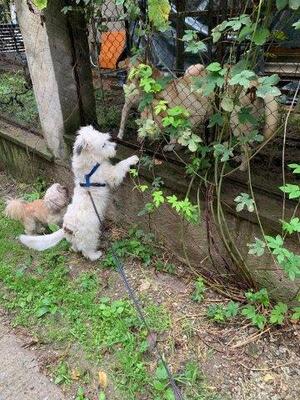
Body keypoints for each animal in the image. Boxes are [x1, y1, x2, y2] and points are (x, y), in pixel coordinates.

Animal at [19, 126, 139, 260]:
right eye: (103, 145)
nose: (116, 147)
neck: (90, 164)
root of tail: (66, 228)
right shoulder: (111, 174)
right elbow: (120, 166)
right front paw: (133, 159)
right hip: (90, 236)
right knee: (86, 251)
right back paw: (95, 255)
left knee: (75, 247)